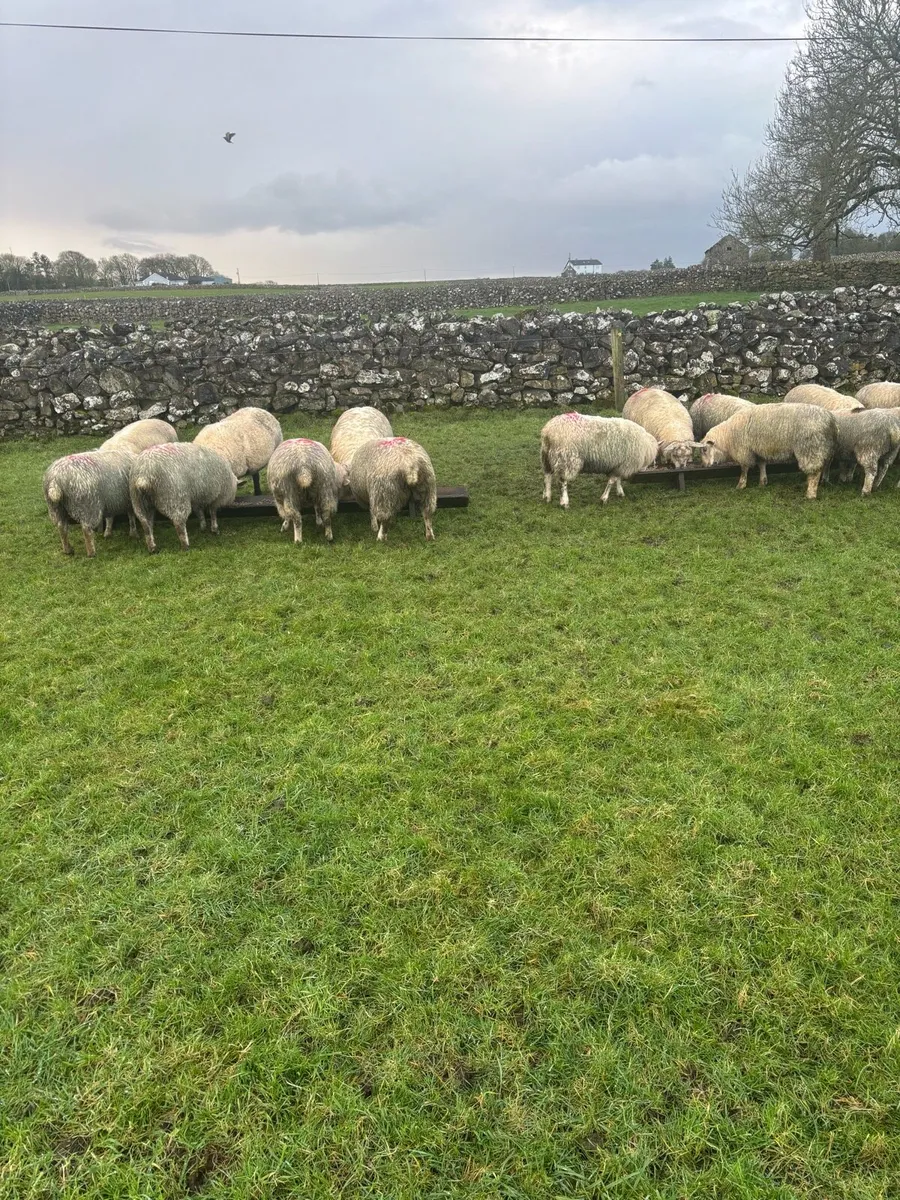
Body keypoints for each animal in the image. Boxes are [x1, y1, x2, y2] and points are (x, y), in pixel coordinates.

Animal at [700, 403, 836, 499]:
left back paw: (811, 493)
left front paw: (741, 485)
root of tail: (829, 419)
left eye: (705, 449)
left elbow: (744, 469)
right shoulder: (759, 449)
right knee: (825, 465)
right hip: (823, 448)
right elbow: (762, 465)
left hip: (810, 448)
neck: (727, 436)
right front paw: (762, 482)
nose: (704, 465)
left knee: (815, 472)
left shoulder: (744, 451)